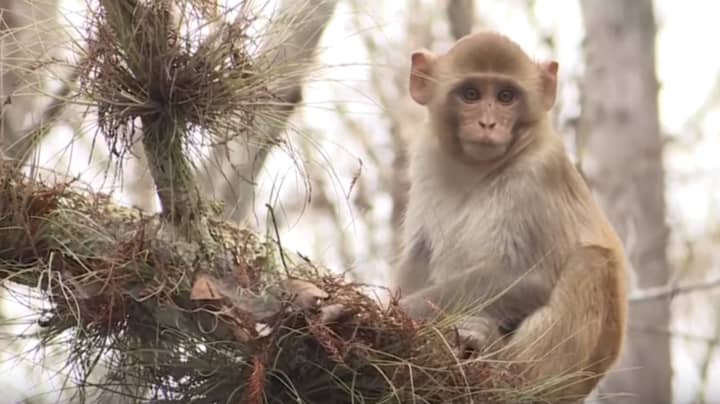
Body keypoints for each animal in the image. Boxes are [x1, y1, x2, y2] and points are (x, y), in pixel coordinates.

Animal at [390, 30, 628, 400]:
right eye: (471, 94)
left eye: (506, 97)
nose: (487, 123)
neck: (475, 170)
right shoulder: (427, 155)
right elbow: (419, 257)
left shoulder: (539, 171)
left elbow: (530, 279)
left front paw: (397, 311)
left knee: (593, 262)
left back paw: (502, 367)